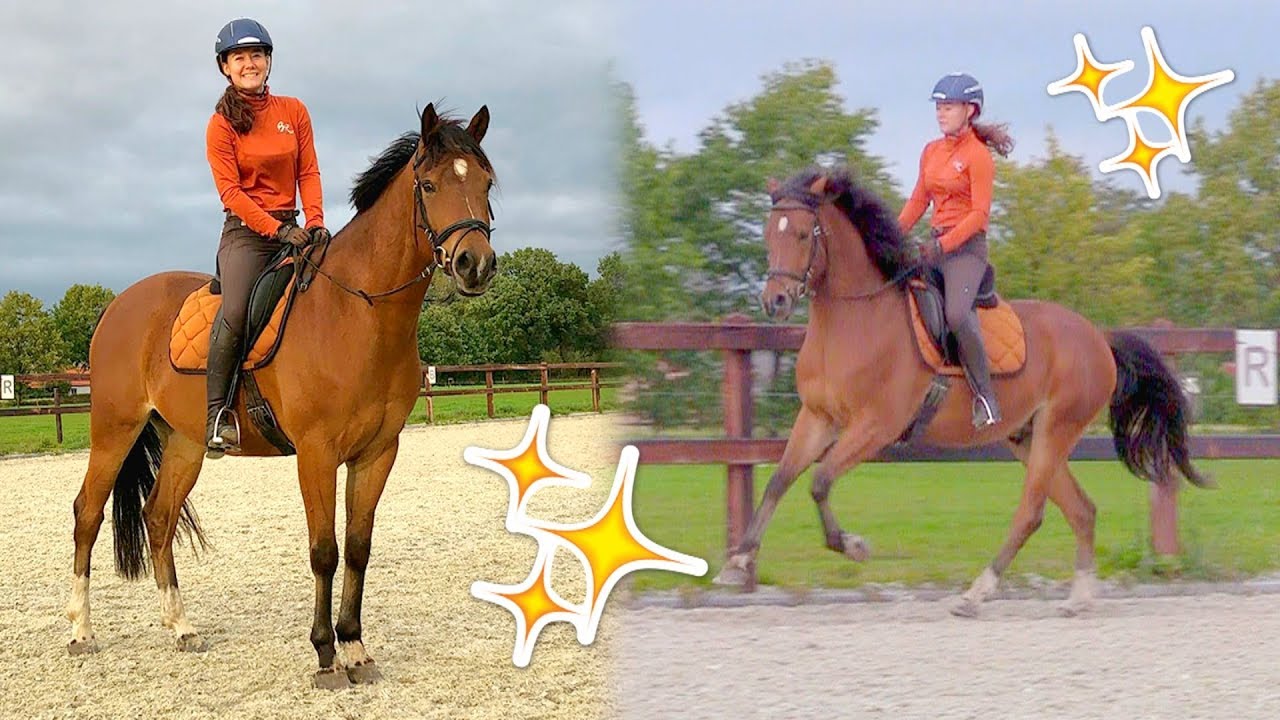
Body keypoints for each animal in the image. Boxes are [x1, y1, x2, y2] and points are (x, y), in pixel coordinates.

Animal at [65, 104, 497, 688]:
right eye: (428, 185)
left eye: (486, 183)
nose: (476, 263)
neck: (359, 313)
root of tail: (118, 304)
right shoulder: (316, 453)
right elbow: (324, 550)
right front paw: (325, 655)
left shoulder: (378, 453)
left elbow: (358, 548)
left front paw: (356, 648)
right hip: (114, 429)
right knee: (87, 512)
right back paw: (80, 631)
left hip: (185, 442)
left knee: (158, 517)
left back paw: (181, 627)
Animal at [711, 167, 1208, 617]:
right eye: (767, 234)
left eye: (801, 234)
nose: (774, 301)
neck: (855, 320)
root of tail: (1099, 338)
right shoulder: (816, 417)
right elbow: (779, 481)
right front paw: (737, 563)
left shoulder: (875, 426)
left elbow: (819, 481)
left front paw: (852, 545)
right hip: (1027, 436)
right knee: (1080, 510)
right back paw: (1078, 597)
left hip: (1056, 430)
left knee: (1031, 512)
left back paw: (976, 594)